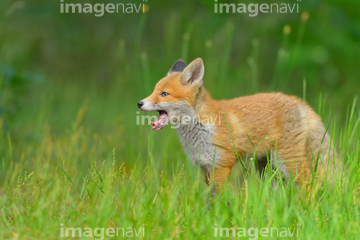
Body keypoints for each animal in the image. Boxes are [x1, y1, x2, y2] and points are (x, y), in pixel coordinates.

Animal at [136, 57, 338, 189]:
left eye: (164, 94)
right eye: (154, 90)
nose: (139, 103)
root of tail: (299, 101)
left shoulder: (221, 165)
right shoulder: (205, 167)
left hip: (289, 163)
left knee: (310, 186)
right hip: (267, 168)